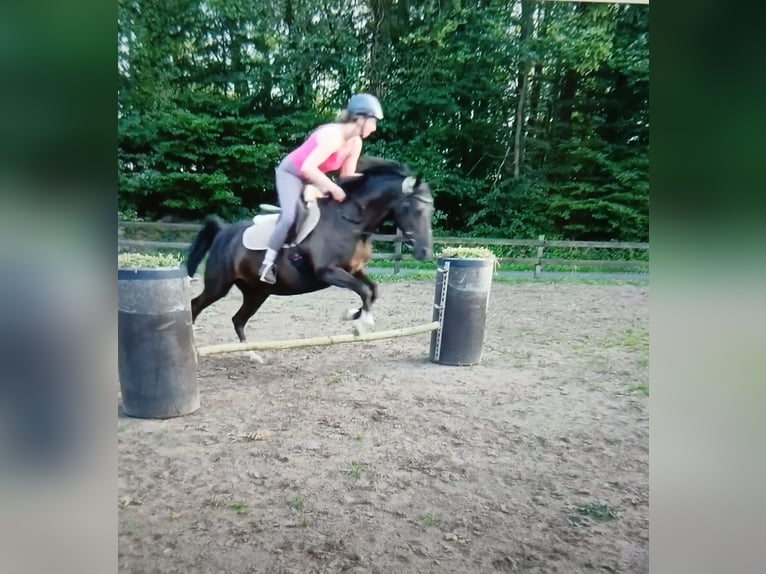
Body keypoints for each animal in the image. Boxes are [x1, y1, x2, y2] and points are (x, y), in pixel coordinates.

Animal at [186, 158, 436, 352]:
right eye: (414, 209)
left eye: (430, 210)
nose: (426, 252)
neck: (350, 222)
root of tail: (222, 232)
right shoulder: (328, 272)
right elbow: (364, 291)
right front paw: (361, 324)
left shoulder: (354, 270)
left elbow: (372, 290)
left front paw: (353, 316)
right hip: (219, 285)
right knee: (196, 305)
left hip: (256, 292)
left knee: (238, 319)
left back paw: (253, 354)